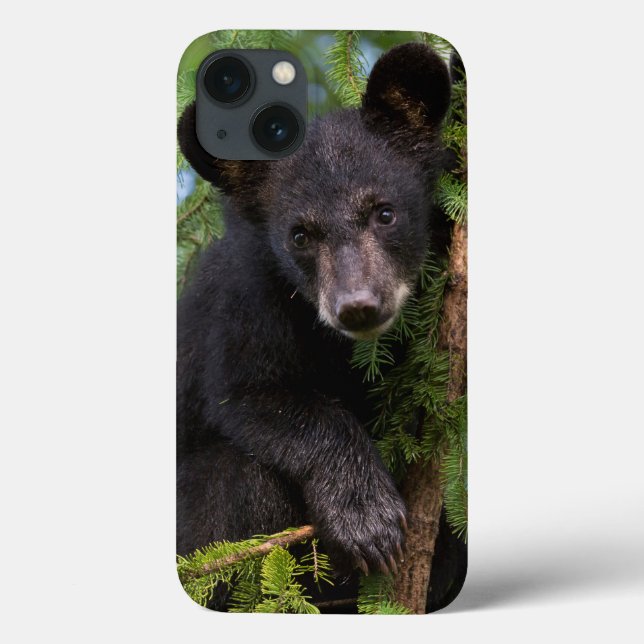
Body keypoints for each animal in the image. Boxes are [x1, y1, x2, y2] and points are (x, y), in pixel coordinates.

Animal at [176, 42, 464, 612]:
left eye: (384, 212)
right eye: (300, 235)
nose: (358, 306)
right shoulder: (247, 298)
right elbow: (250, 394)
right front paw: (367, 519)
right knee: (234, 479)